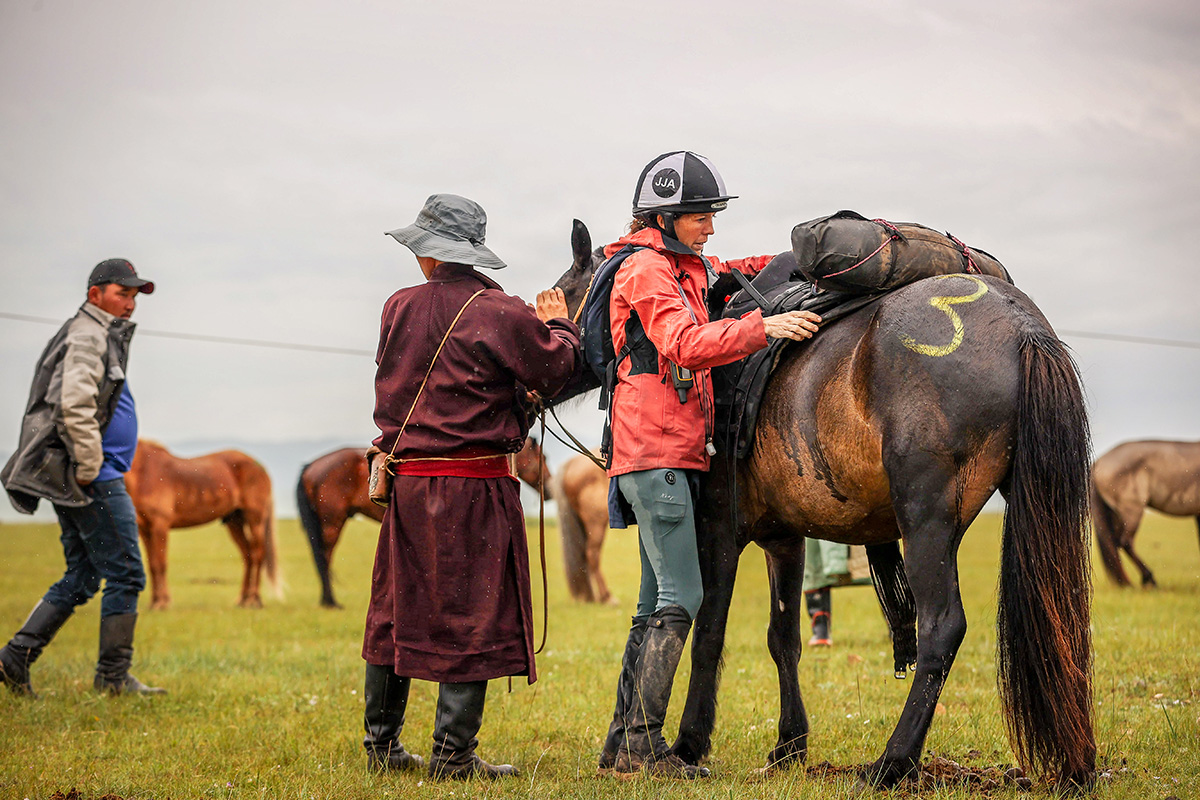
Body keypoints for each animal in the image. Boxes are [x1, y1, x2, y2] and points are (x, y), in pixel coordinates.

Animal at [124, 441, 280, 609]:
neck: (144, 471)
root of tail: (259, 466)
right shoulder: (145, 530)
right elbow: (152, 565)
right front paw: (155, 602)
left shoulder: (160, 526)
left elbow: (160, 564)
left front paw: (162, 603)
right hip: (235, 522)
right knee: (248, 555)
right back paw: (243, 599)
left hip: (255, 520)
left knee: (258, 555)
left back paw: (254, 599)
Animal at [297, 438, 549, 606]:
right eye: (542, 457)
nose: (549, 490)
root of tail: (311, 466)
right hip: (332, 523)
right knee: (325, 556)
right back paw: (330, 601)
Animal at [1094, 438, 1195, 587]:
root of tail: (1098, 462)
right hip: (1132, 510)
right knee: (1125, 541)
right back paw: (1149, 579)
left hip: (1115, 513)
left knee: (1114, 543)